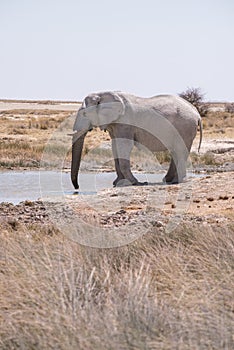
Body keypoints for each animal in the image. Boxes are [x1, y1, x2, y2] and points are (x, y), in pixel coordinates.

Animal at [70, 91, 202, 189]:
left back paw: (178, 181)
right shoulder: (115, 124)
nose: (77, 187)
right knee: (175, 151)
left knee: (179, 151)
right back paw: (168, 180)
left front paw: (134, 183)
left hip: (184, 127)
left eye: (85, 113)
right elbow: (115, 146)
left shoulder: (125, 122)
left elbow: (124, 145)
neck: (102, 94)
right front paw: (118, 183)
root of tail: (196, 112)